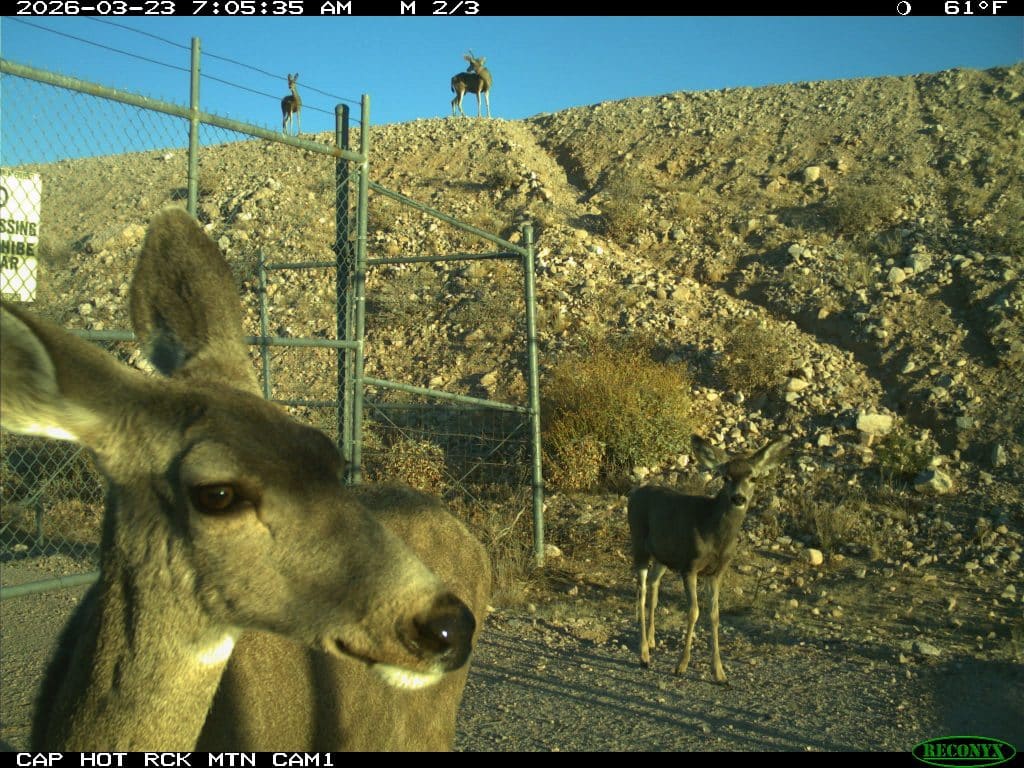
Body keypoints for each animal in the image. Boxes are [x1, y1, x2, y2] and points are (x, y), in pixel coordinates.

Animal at [628, 435, 789, 684]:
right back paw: (644, 654)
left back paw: (653, 641)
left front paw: (720, 673)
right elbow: (694, 611)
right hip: (639, 545)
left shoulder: (716, 572)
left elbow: (714, 615)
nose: (738, 498)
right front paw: (681, 666)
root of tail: (634, 493)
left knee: (653, 585)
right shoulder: (690, 566)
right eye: (725, 477)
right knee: (641, 591)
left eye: (753, 477)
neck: (714, 534)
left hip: (663, 556)